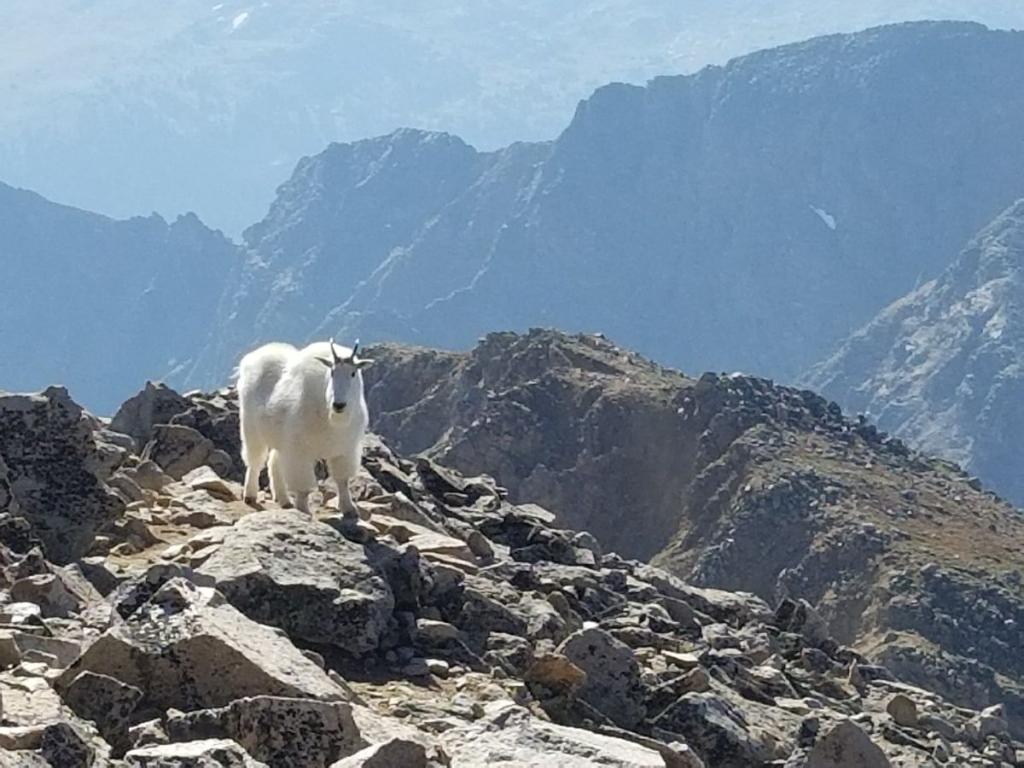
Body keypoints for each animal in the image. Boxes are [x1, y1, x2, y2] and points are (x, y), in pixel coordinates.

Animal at [237, 339, 373, 515]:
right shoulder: (299, 451)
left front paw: (349, 509)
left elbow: (342, 480)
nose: (339, 405)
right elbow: (303, 486)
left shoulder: (344, 450)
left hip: (281, 438)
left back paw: (284, 500)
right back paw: (250, 495)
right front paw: (303, 510)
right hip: (251, 427)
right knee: (255, 460)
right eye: (332, 372)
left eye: (353, 373)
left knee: (274, 462)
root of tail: (251, 358)